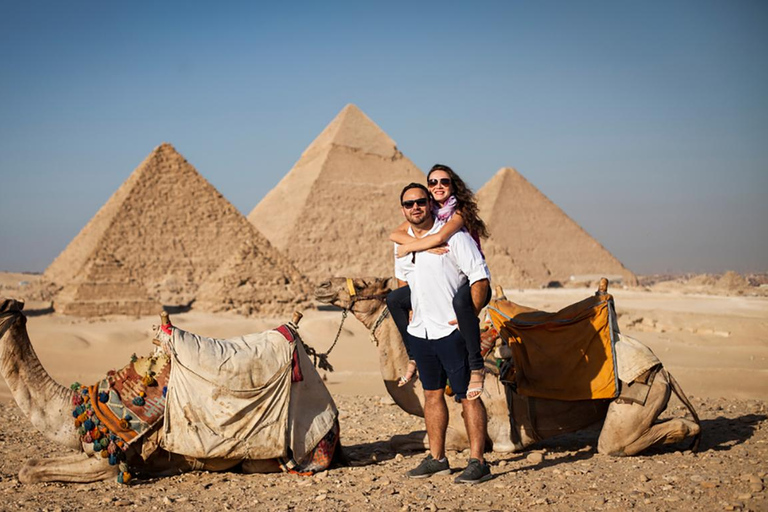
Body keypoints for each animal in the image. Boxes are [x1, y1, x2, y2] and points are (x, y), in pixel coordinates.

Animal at [312, 278, 704, 458]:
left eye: (364, 284)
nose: (322, 285)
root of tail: (663, 369)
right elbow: (408, 438)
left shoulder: (469, 431)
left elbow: (428, 439)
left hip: (637, 397)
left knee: (616, 443)